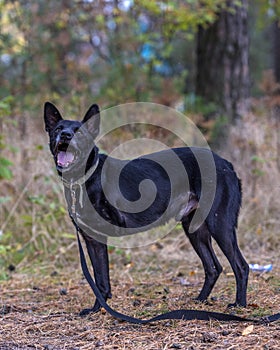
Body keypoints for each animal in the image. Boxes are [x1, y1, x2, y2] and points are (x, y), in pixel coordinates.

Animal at [44, 101, 249, 314]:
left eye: (80, 132)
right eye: (58, 129)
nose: (65, 135)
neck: (82, 177)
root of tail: (227, 165)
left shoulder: (100, 235)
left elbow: (101, 279)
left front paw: (99, 309)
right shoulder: (91, 239)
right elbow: (100, 279)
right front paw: (96, 309)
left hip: (220, 225)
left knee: (241, 266)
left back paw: (239, 304)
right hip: (195, 229)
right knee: (213, 267)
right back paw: (199, 301)